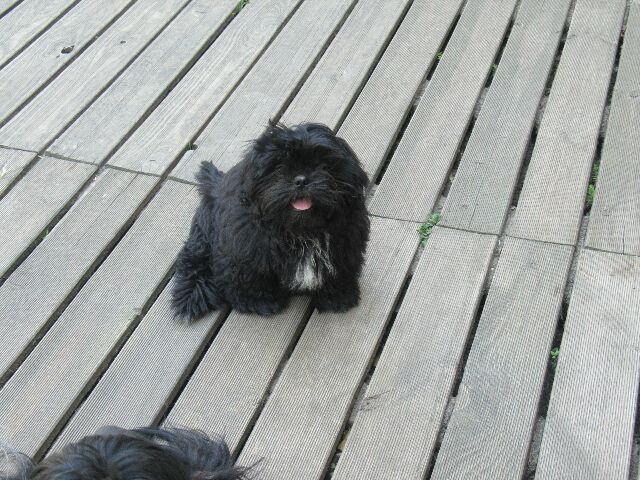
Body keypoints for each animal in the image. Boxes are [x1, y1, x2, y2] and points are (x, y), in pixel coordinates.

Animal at [172, 121, 370, 321]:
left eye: (322, 164)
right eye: (280, 165)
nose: (301, 180)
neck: (301, 231)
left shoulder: (346, 242)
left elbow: (340, 269)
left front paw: (337, 296)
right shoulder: (245, 248)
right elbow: (250, 276)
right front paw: (258, 301)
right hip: (204, 229)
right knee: (195, 258)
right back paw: (192, 294)